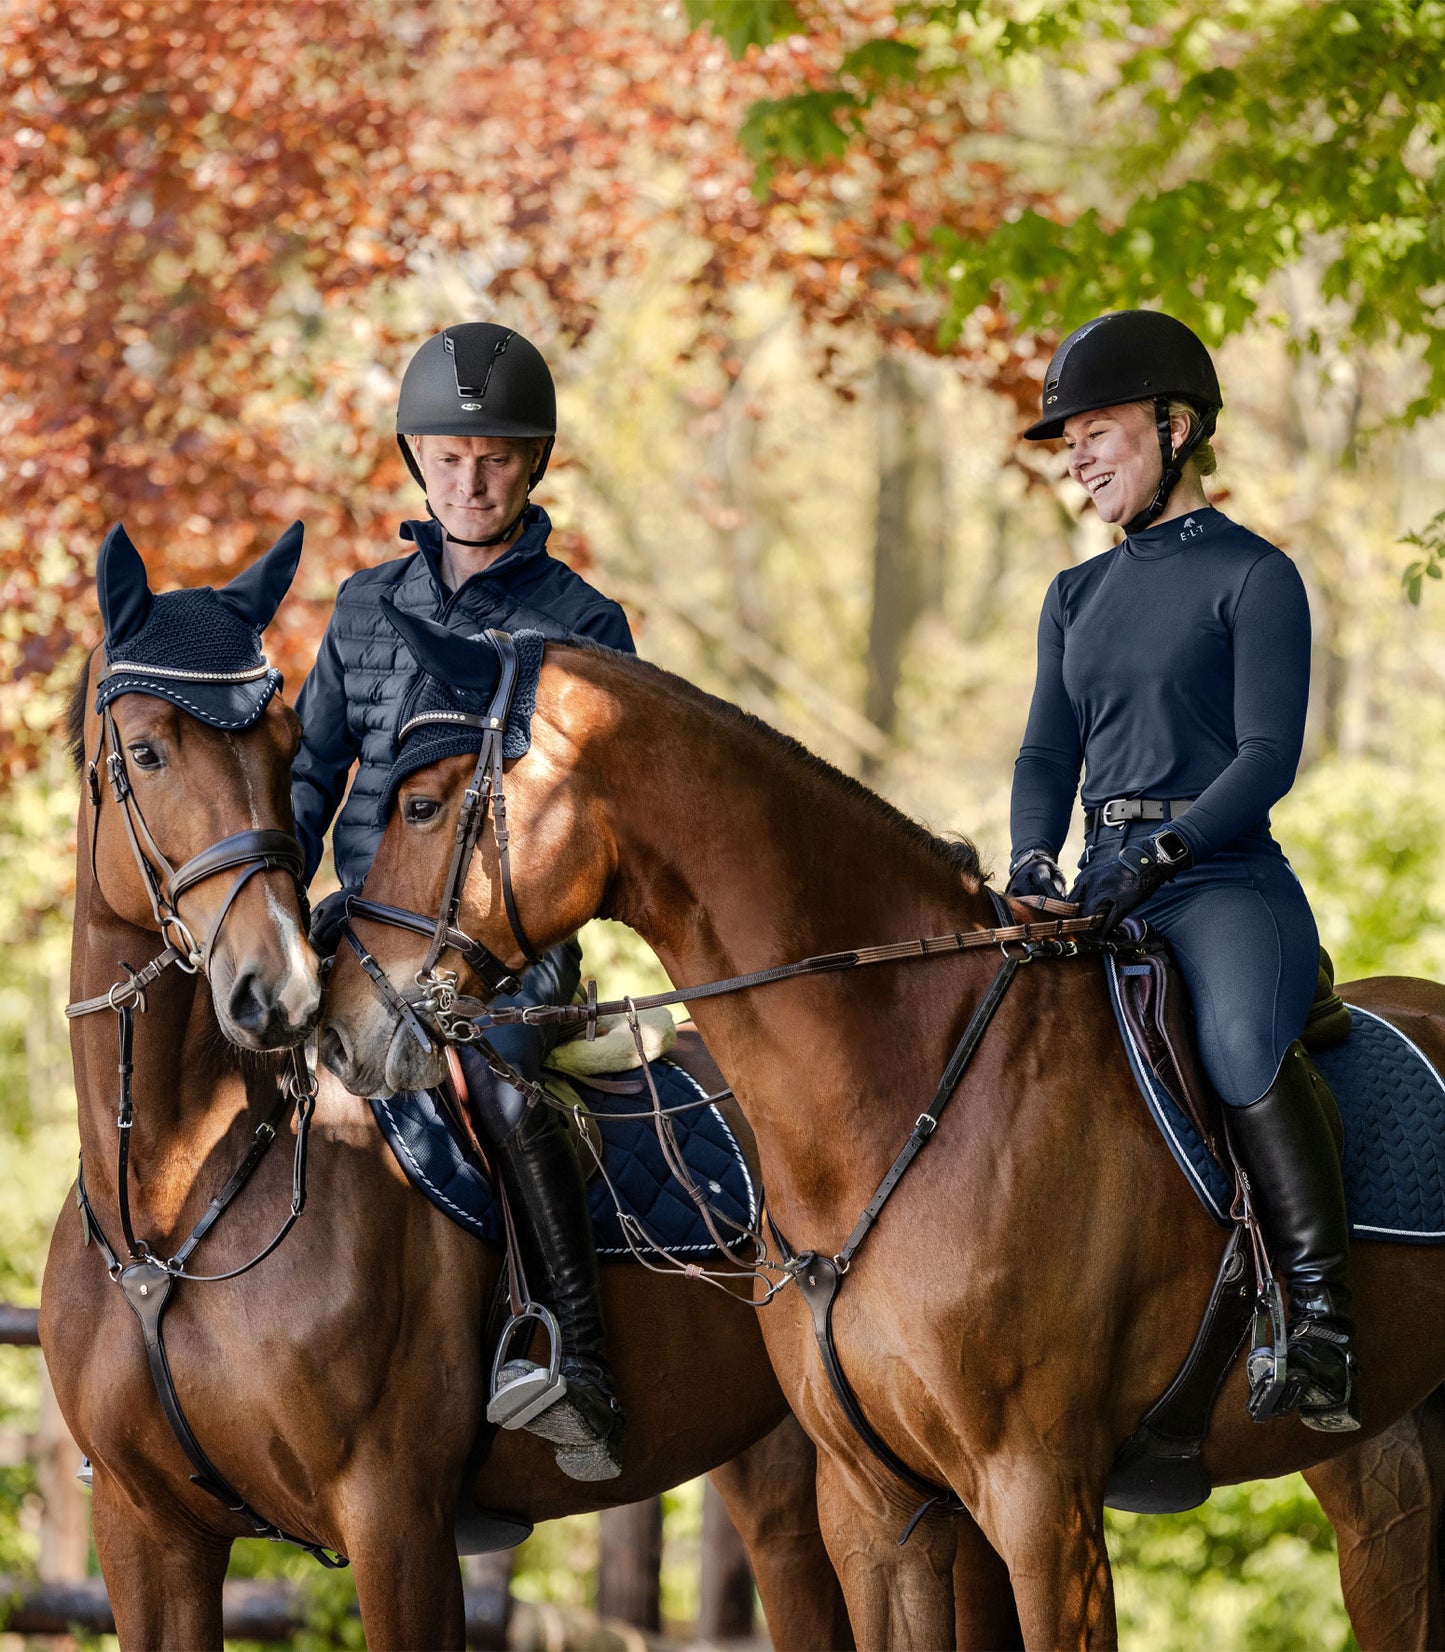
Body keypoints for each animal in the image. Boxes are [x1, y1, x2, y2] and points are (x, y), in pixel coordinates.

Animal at [40, 532, 850, 1652]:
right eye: (150, 752)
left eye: (281, 745)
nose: (280, 990)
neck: (173, 1203)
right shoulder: (144, 1535)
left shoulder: (395, 1522)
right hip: (776, 1467)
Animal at [317, 627, 1445, 1650]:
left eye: (420, 805)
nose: (341, 1027)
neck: (895, 1089)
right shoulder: (873, 1510)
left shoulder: (1042, 1506)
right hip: (1377, 1469)